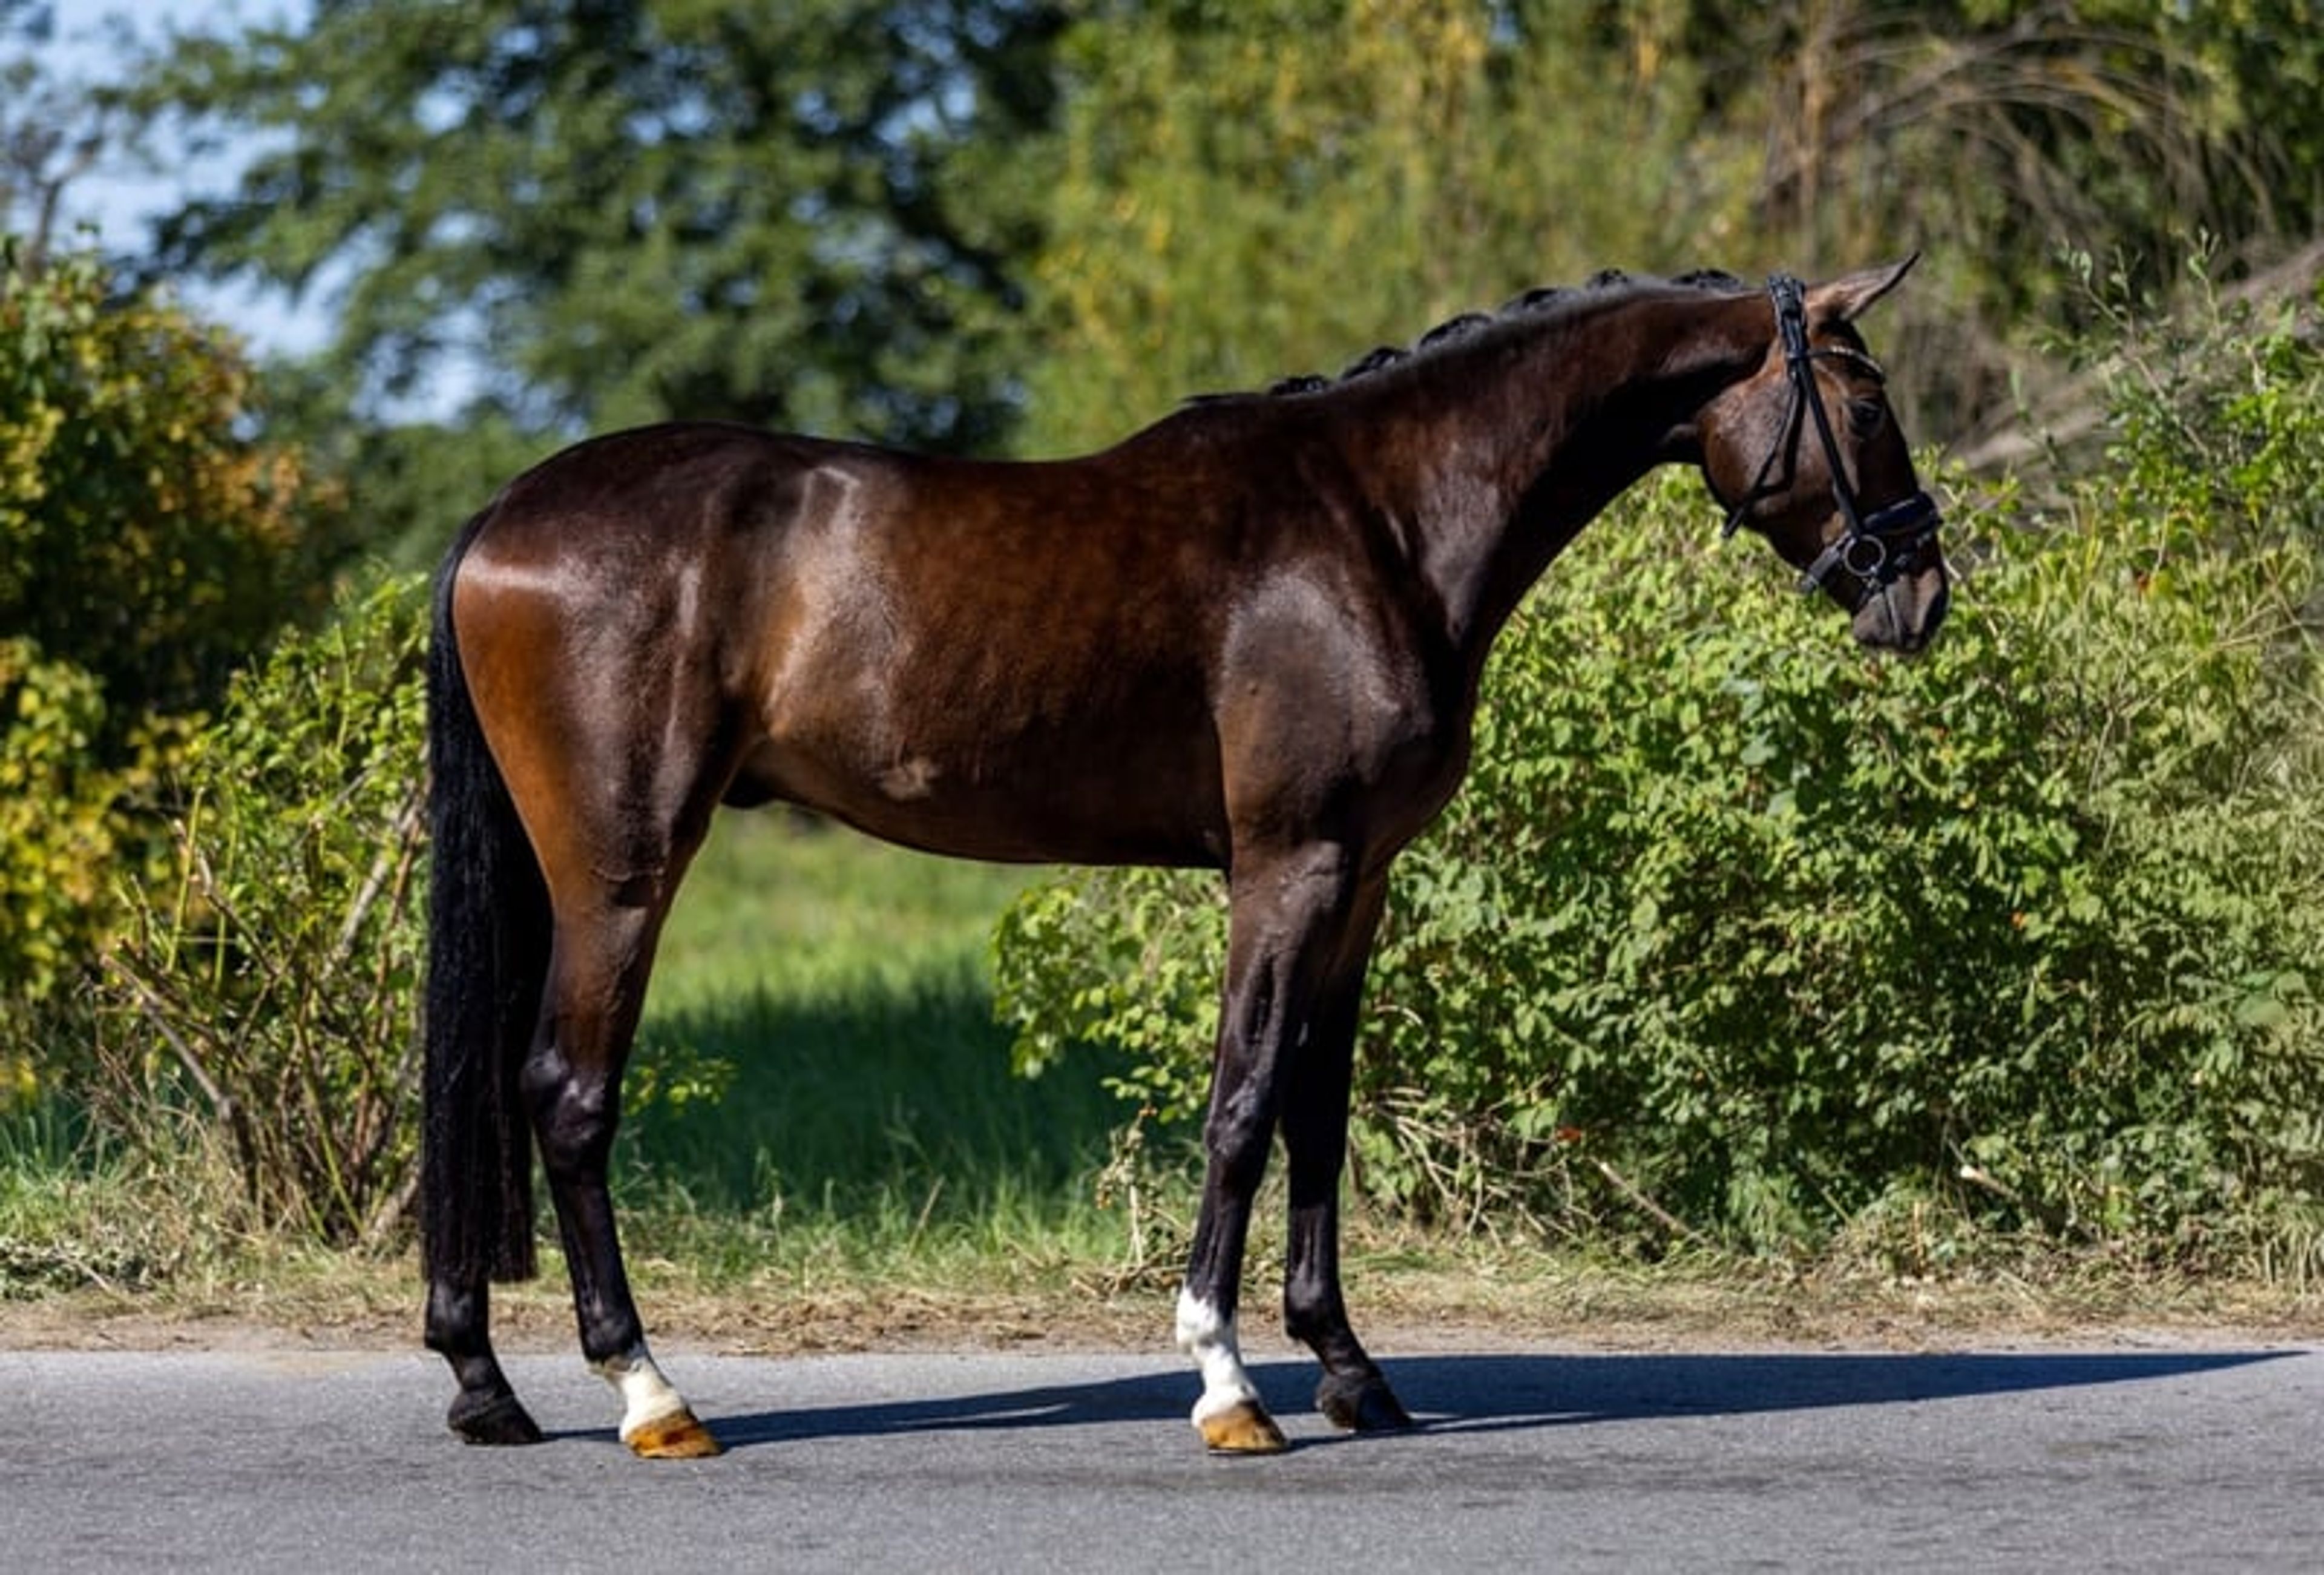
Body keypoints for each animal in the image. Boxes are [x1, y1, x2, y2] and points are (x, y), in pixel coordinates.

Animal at [421, 259, 1949, 1458]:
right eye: (1868, 406)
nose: (1920, 593)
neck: (1379, 521)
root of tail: (497, 517)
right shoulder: (1288, 866)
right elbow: (1243, 1103)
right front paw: (1226, 1379)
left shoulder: (1360, 879)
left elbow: (1318, 1114)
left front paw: (1349, 1369)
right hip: (620, 868)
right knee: (567, 1095)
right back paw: (649, 1391)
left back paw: (486, 1380)